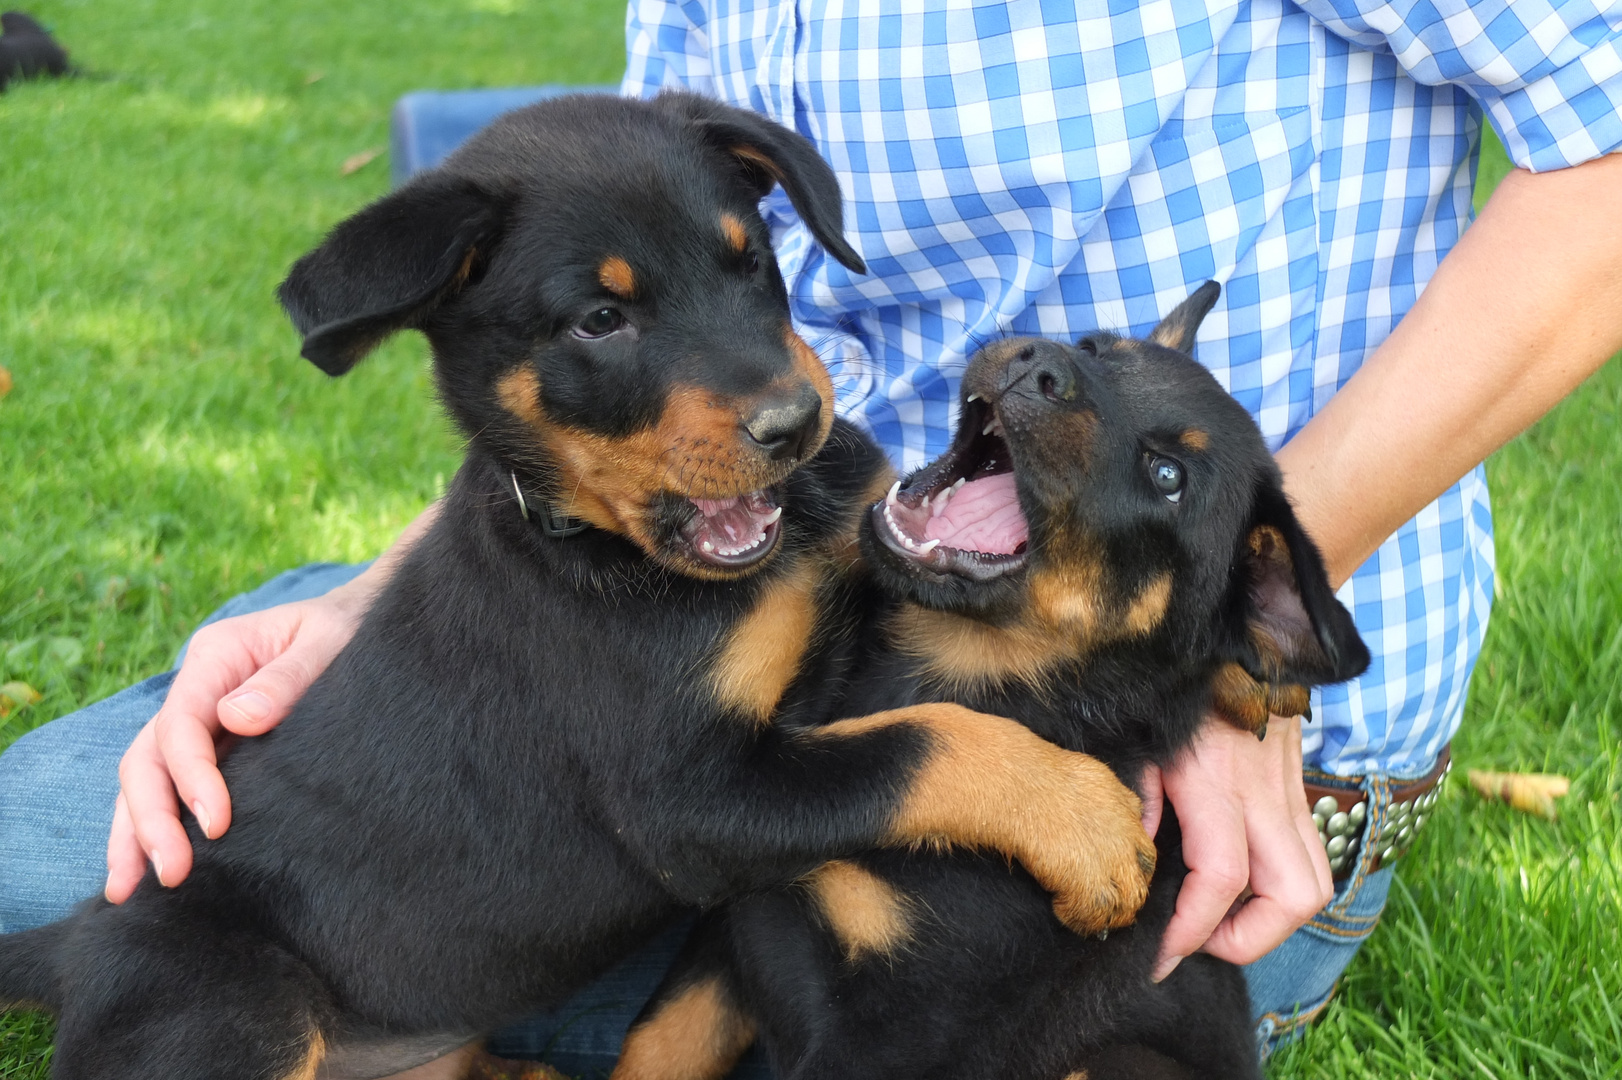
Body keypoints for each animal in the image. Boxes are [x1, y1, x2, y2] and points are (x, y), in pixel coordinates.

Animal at [0, 92, 1154, 1076]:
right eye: (600, 321)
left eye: (752, 265)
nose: (794, 425)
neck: (610, 551)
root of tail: (73, 943)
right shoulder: (688, 798)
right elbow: (917, 742)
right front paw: (1082, 821)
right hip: (234, 1011)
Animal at [616, 282, 1368, 1076]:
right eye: (1095, 347)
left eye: (1169, 478)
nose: (1041, 363)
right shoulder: (732, 930)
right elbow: (654, 1044)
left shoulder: (904, 1030)